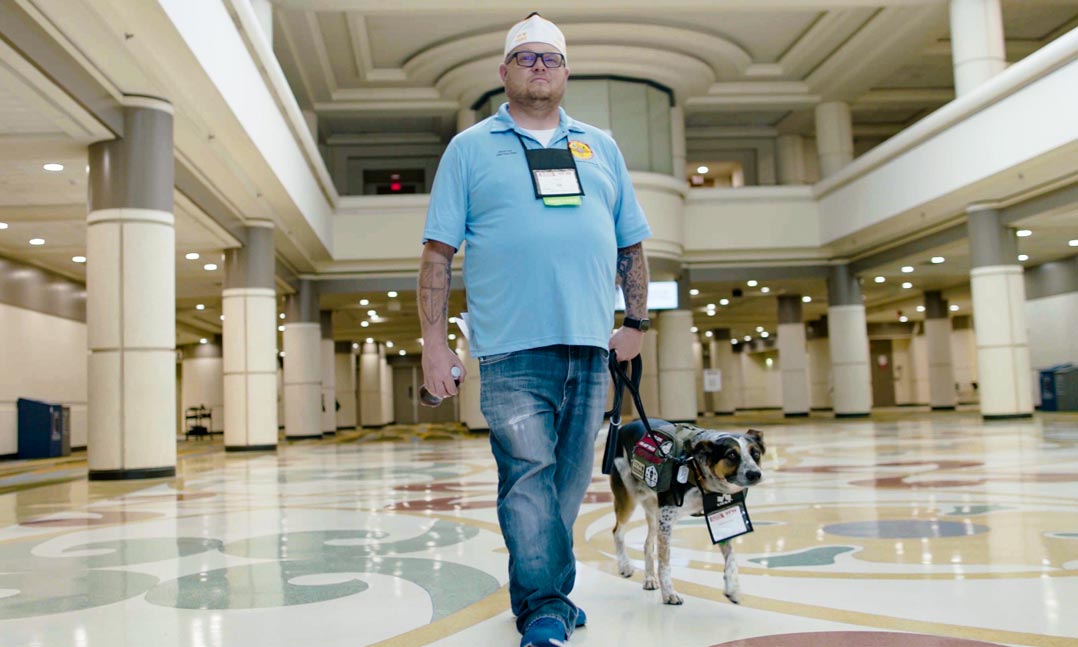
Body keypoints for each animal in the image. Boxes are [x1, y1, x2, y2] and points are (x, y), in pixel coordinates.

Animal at [612, 420, 763, 608]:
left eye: (755, 453)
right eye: (731, 455)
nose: (755, 474)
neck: (698, 472)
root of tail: (626, 425)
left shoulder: (719, 512)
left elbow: (731, 557)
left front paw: (733, 588)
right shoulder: (667, 521)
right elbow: (665, 562)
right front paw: (669, 593)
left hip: (655, 512)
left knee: (647, 544)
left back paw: (649, 578)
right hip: (628, 497)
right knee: (618, 532)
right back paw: (625, 566)